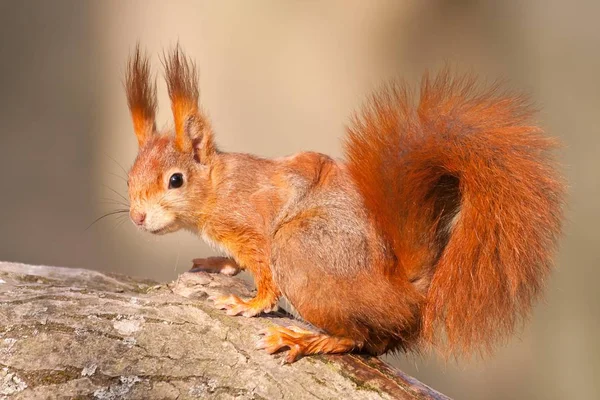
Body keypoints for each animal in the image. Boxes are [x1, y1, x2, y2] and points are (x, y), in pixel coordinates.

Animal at [124, 46, 564, 362]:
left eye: (175, 180)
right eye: (128, 178)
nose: (137, 217)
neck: (219, 186)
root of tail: (406, 296)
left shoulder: (253, 226)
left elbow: (265, 274)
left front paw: (249, 303)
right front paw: (217, 263)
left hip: (300, 248)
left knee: (357, 338)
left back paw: (302, 341)